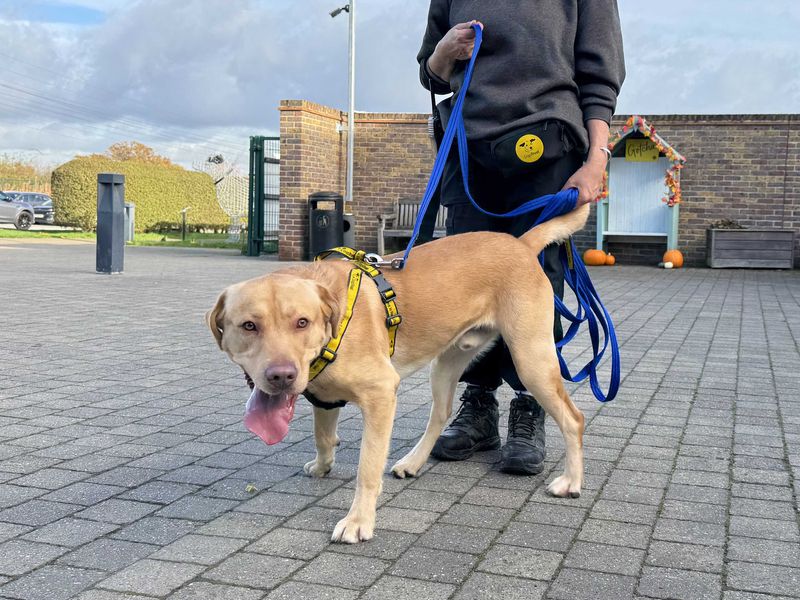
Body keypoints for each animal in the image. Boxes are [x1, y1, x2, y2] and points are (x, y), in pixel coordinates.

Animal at [208, 203, 588, 544]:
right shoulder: (324, 397)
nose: (281, 376)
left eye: (302, 322)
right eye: (249, 326)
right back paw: (413, 462)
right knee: (441, 413)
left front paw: (358, 521)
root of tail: (520, 244)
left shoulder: (380, 394)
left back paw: (571, 481)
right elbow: (323, 436)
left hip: (531, 360)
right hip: (446, 363)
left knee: (573, 418)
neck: (333, 320)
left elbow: (367, 467)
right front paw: (322, 465)